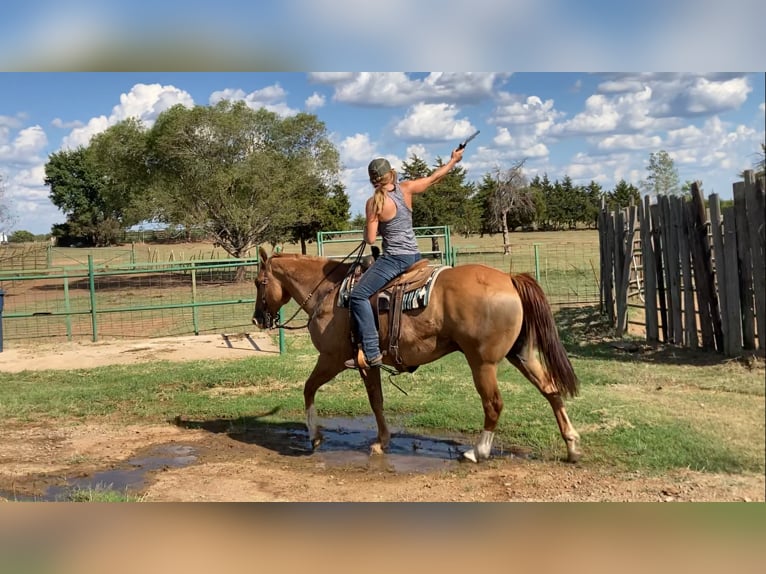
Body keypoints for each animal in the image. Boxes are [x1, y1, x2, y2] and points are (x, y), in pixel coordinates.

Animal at [252, 246, 581, 463]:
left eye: (259, 282)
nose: (257, 319)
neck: (330, 294)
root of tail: (509, 279)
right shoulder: (367, 364)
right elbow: (377, 401)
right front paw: (382, 442)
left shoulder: (332, 359)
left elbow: (309, 389)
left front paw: (314, 436)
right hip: (522, 355)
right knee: (551, 390)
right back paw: (572, 446)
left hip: (482, 363)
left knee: (494, 404)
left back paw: (478, 451)